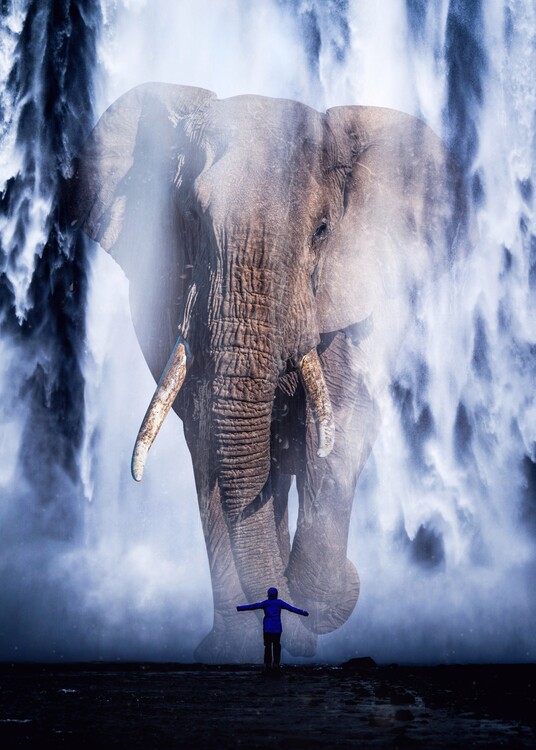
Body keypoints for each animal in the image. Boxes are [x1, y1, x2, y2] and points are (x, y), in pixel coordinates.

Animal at [67, 83, 469, 662]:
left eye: (323, 230)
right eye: (191, 217)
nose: (354, 578)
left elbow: (339, 430)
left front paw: (314, 612)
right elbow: (211, 440)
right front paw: (236, 648)